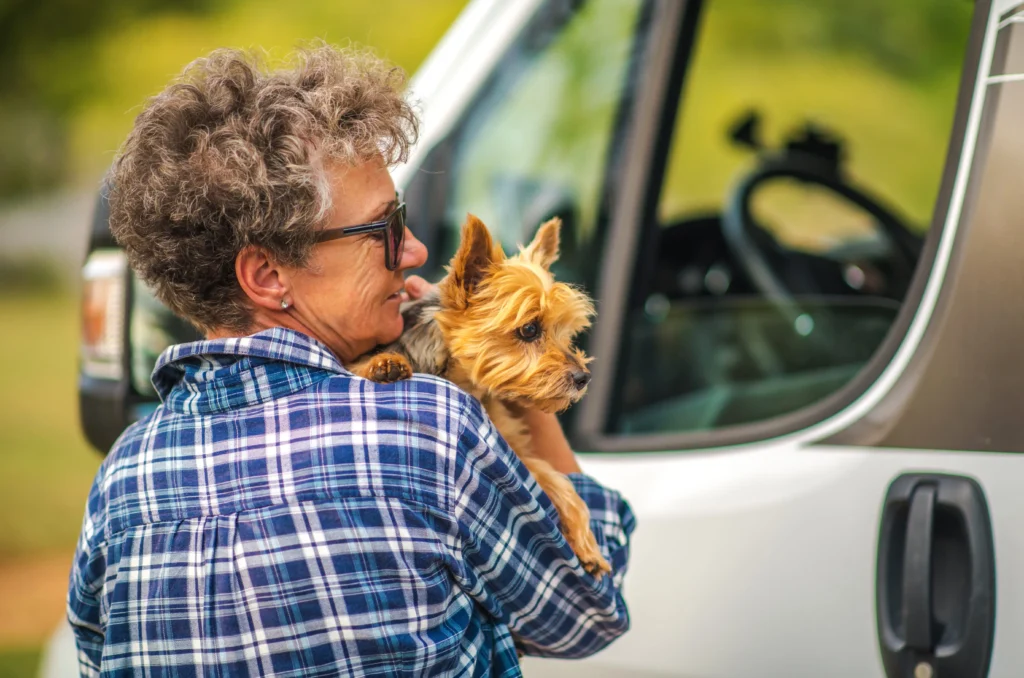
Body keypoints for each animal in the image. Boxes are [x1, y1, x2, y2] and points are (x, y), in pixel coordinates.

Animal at [348, 215, 610, 577]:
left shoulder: (510, 449)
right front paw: (383, 364)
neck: (464, 380)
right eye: (529, 329)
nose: (583, 377)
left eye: (566, 332)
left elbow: (555, 479)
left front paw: (587, 542)